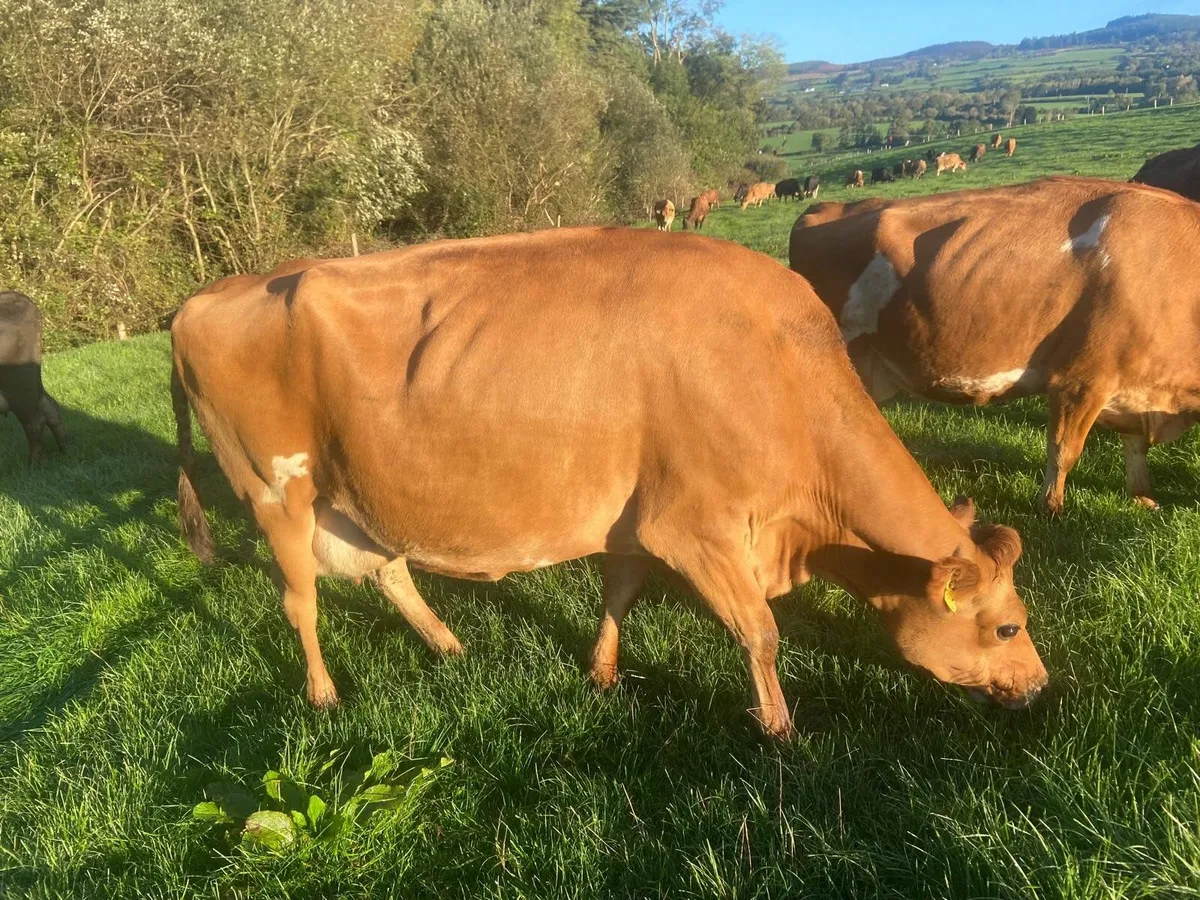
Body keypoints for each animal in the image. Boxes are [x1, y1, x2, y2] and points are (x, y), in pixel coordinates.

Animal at [171, 228, 1048, 738]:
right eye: (1008, 627)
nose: (1038, 686)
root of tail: (204, 297)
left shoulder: (638, 518)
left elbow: (618, 595)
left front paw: (601, 674)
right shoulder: (696, 528)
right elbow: (760, 632)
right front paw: (780, 731)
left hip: (355, 497)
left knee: (387, 570)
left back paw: (449, 645)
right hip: (276, 492)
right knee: (301, 601)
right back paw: (323, 694)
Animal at [787, 176, 1200, 513]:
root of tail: (824, 208)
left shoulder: (1133, 382)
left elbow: (1135, 447)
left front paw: (1142, 497)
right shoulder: (1080, 379)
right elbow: (1064, 450)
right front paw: (1052, 508)